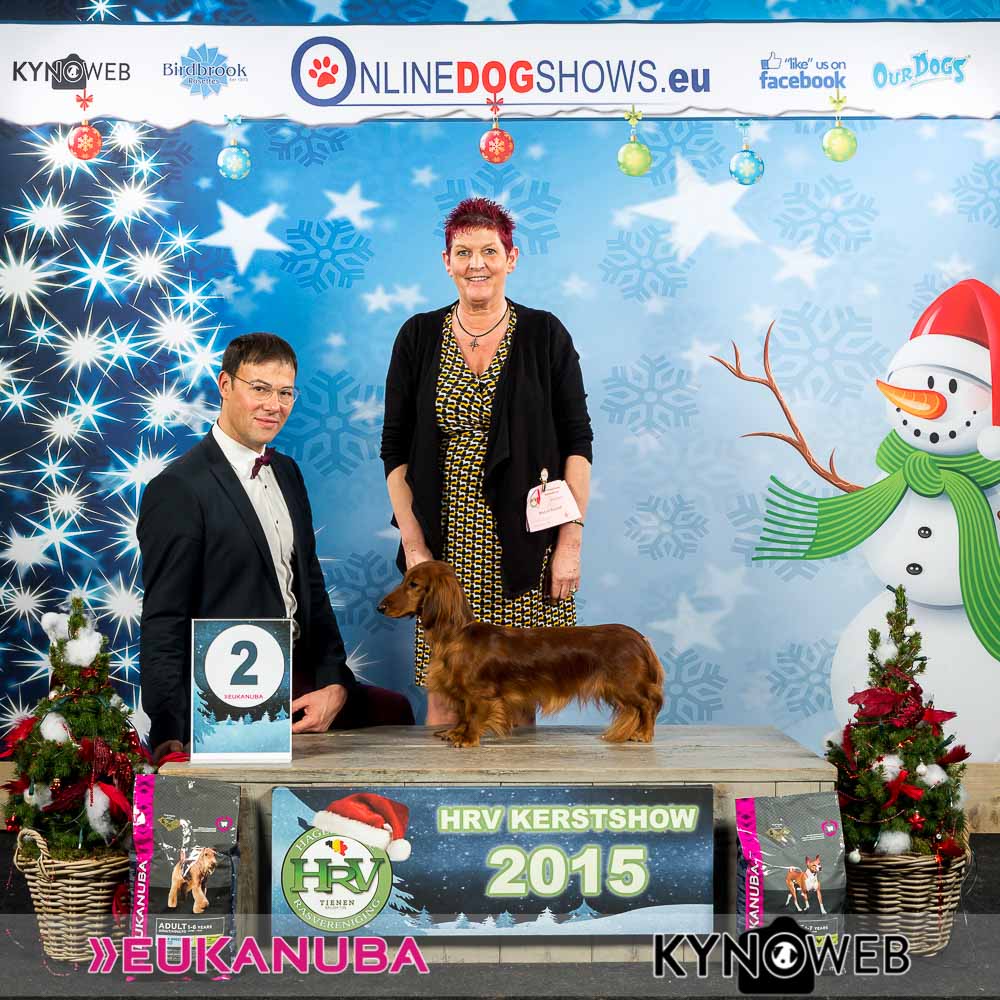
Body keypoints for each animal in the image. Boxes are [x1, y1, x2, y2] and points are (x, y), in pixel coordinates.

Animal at [377, 560, 664, 747]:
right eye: (404, 580)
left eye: (414, 584)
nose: (380, 607)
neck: (456, 635)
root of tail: (639, 638)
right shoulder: (461, 692)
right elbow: (463, 713)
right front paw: (455, 732)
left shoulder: (480, 694)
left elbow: (473, 715)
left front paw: (467, 739)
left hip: (625, 685)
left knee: (649, 704)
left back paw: (644, 734)